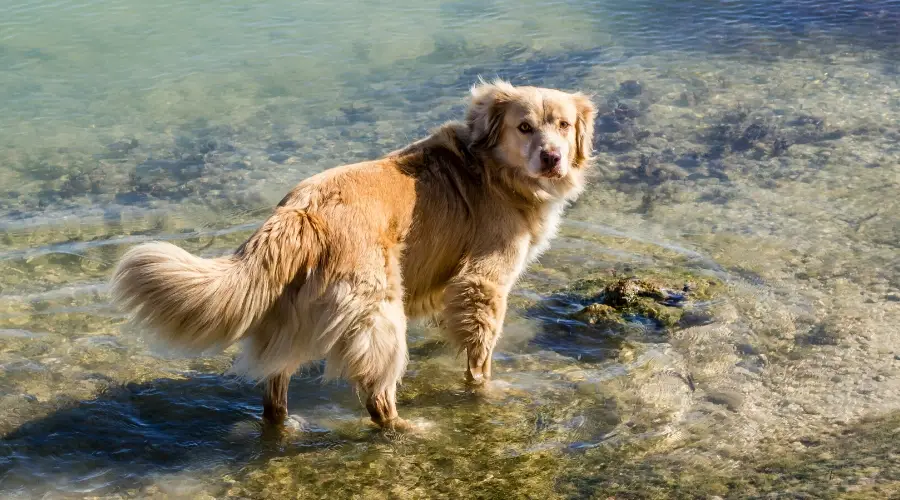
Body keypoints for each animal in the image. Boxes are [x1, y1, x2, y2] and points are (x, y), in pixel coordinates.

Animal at [109, 81, 596, 430]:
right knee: (377, 397)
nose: (553, 158)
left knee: (273, 392)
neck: (491, 169)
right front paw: (486, 392)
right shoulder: (483, 279)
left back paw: (286, 426)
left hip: (290, 320)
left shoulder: (447, 286)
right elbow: (480, 356)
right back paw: (408, 429)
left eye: (563, 126)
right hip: (380, 315)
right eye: (524, 127)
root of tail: (302, 211)